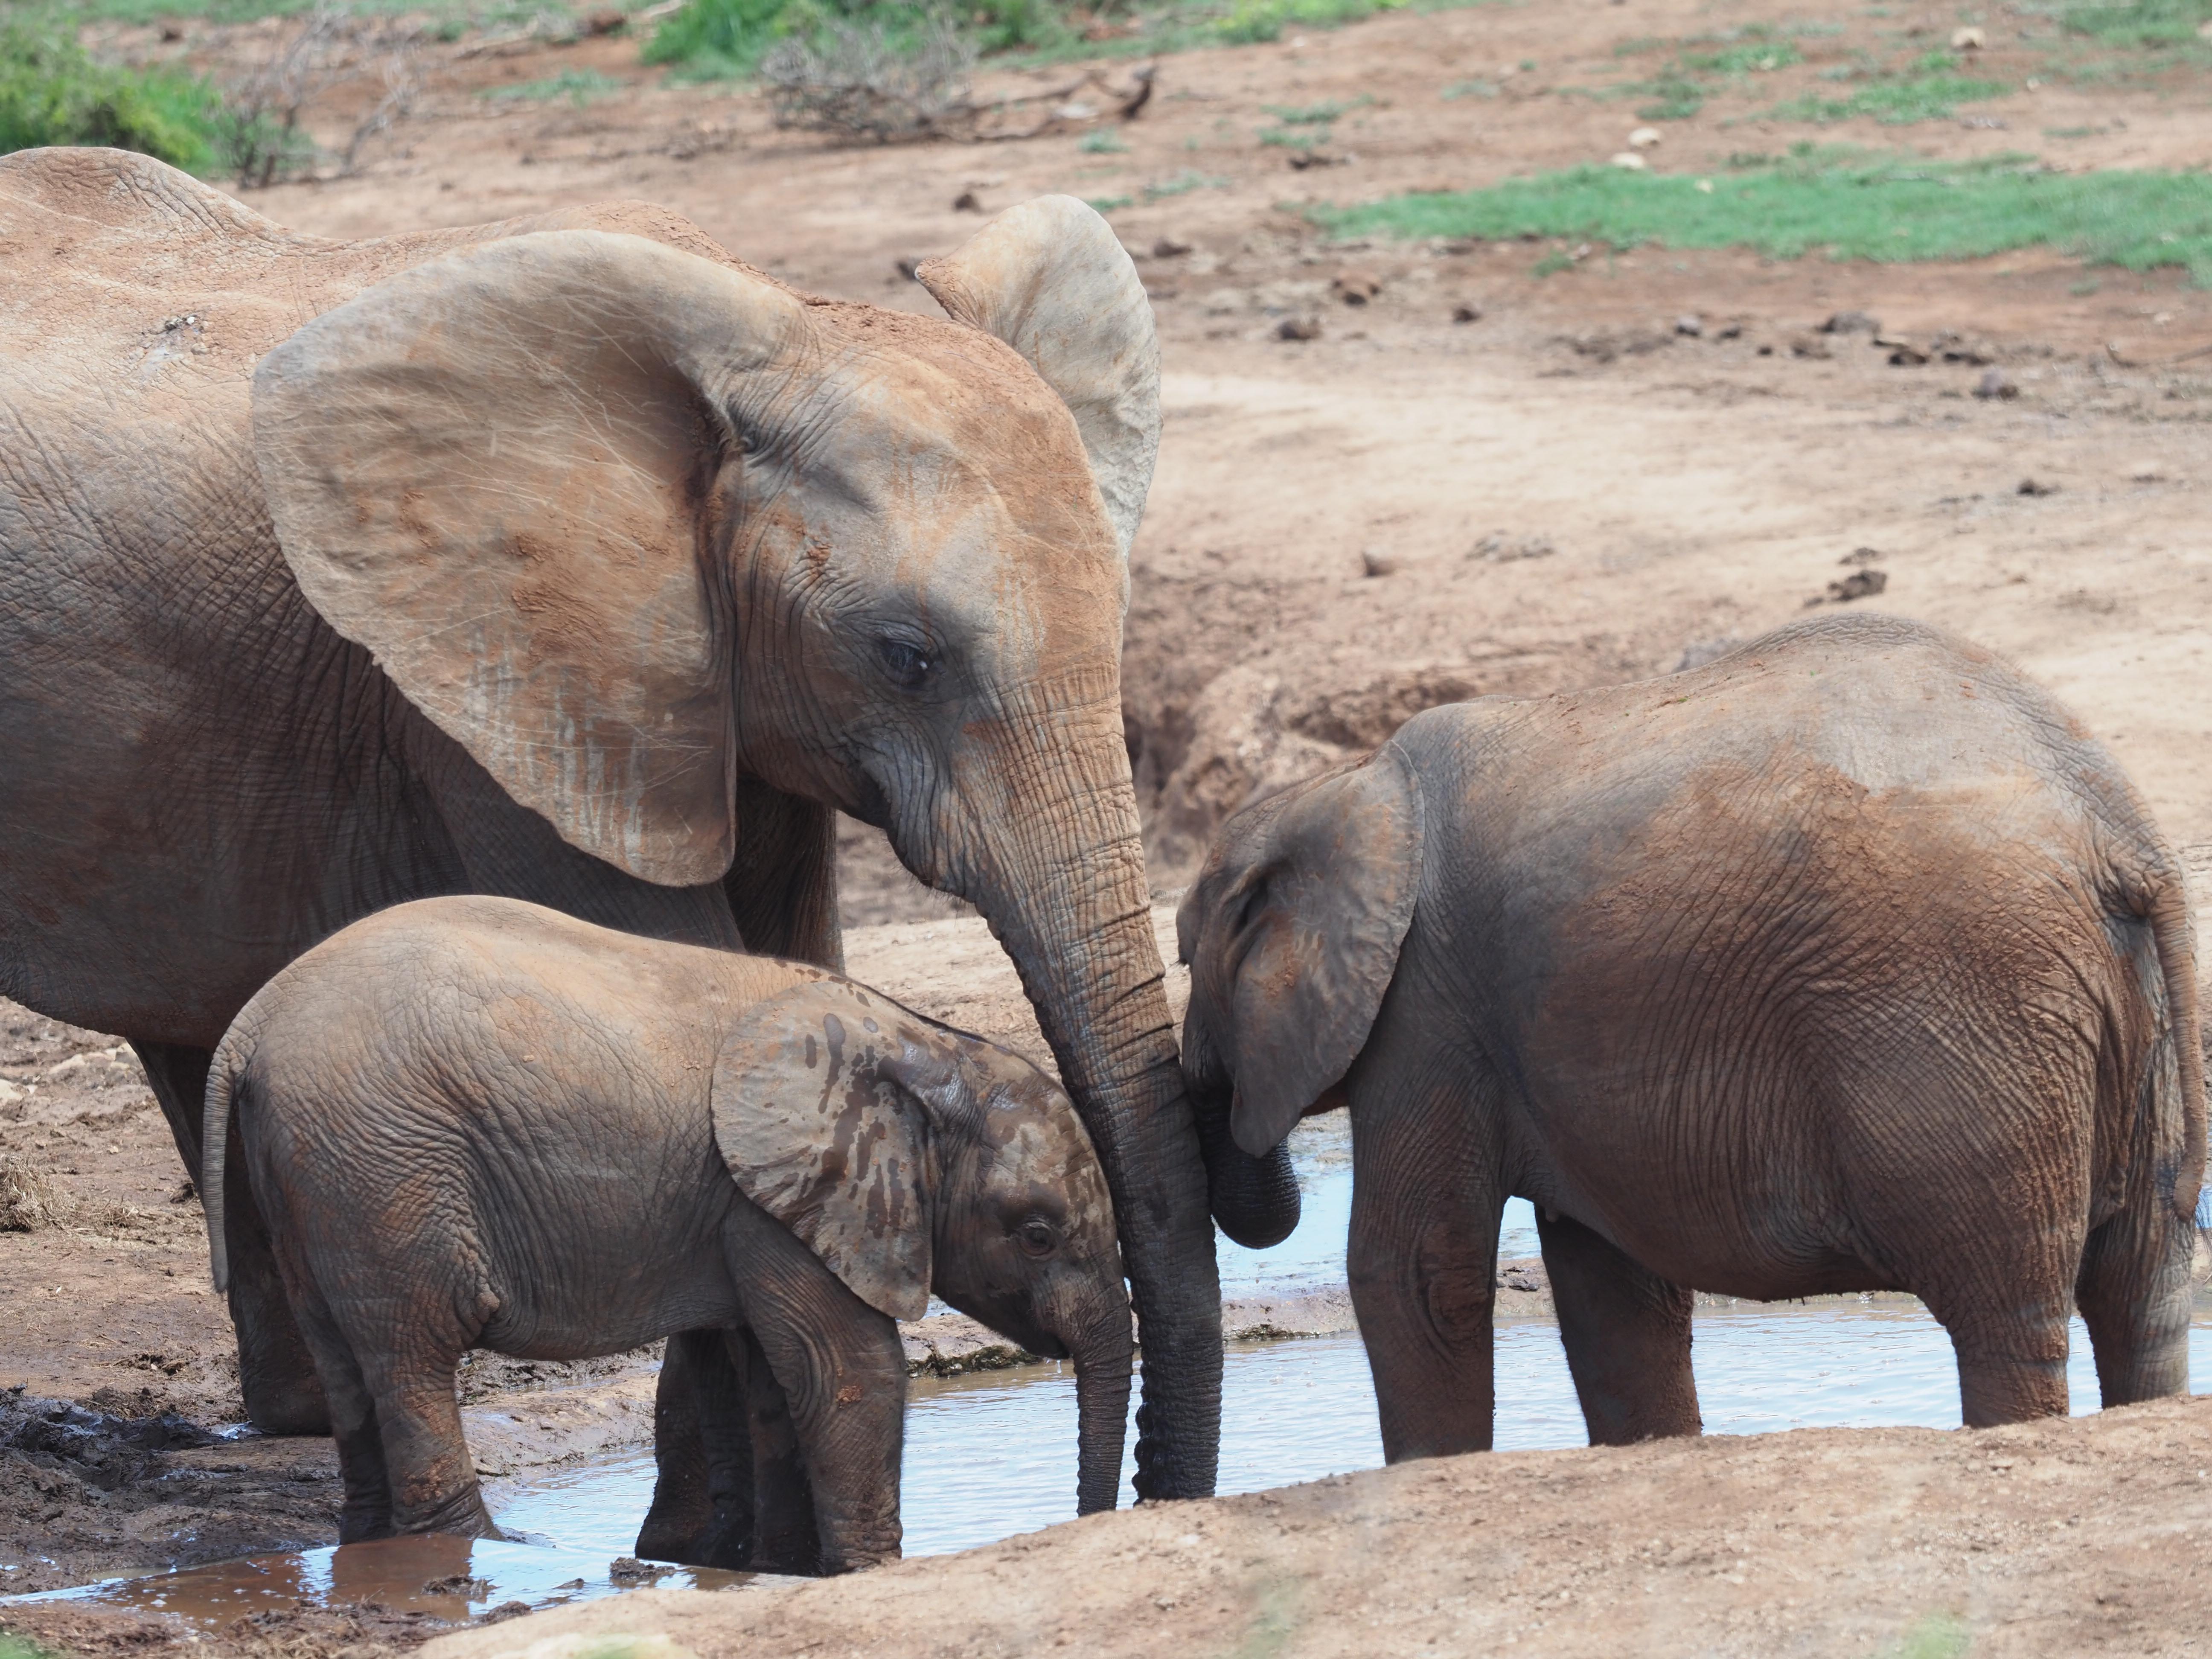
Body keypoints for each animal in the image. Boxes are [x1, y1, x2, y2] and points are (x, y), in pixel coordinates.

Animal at [202, 896, 1131, 1569]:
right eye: (1037, 1234)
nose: (1085, 1521)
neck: (923, 1046)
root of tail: (250, 1024)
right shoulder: (780, 1197)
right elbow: (844, 1369)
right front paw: (869, 1570)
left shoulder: (746, 1204)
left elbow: (769, 1376)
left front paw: (779, 1568)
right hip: (383, 1163)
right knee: (414, 1352)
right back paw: (488, 1549)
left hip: (314, 1171)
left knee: (347, 1361)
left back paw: (372, 1544)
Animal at [1176, 612, 2203, 1458]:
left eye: (1186, 957)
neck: (1340, 787)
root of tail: (2120, 830)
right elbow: (1611, 1289)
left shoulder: (1424, 1011)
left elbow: (1417, 1274)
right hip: (2126, 1027)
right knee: (2141, 1286)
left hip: (1971, 1006)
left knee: (2003, 1303)